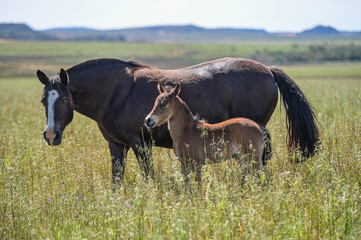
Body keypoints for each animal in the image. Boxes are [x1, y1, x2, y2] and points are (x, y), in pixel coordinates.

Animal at [36, 57, 318, 183]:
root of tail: (268, 69)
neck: (115, 92)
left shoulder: (140, 144)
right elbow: (117, 179)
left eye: (64, 100)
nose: (51, 135)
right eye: (43, 100)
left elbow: (148, 177)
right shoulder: (116, 146)